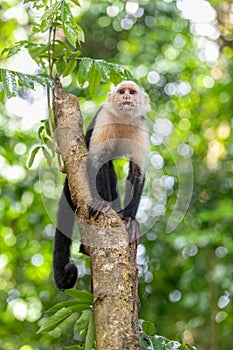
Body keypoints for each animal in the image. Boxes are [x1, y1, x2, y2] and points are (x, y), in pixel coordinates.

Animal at [53, 80, 150, 288]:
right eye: (121, 91)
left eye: (132, 92)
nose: (126, 96)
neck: (123, 119)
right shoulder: (105, 117)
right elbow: (99, 162)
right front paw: (103, 204)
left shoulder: (141, 126)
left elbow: (137, 172)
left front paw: (129, 218)